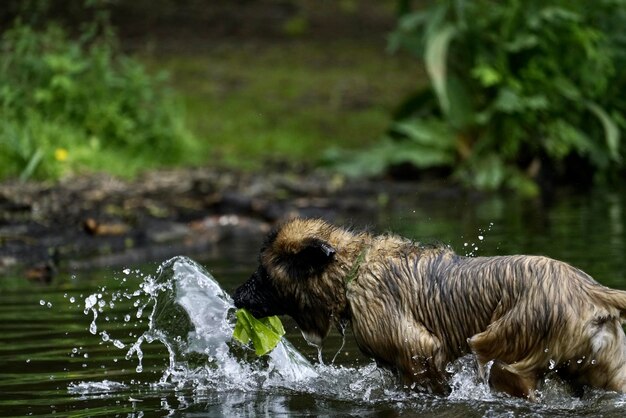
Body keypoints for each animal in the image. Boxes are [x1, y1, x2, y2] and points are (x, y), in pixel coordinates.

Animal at [232, 219, 624, 398]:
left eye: (263, 274)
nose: (236, 296)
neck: (353, 269)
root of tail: (590, 291)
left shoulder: (419, 350)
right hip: (602, 368)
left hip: (499, 350)